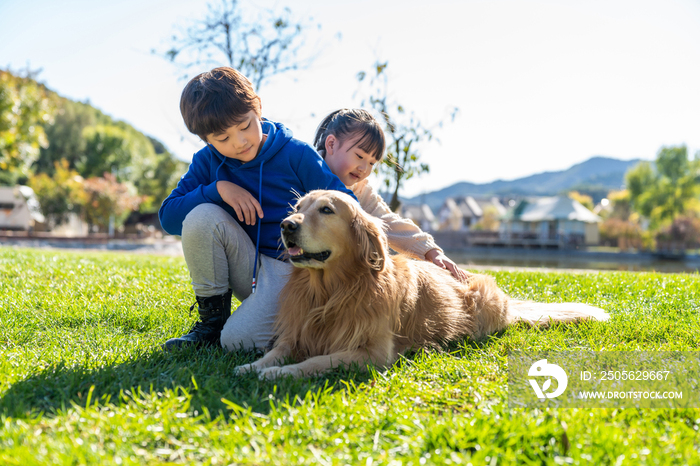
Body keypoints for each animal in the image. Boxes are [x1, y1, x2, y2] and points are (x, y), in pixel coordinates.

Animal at [235, 189, 608, 378]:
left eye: (326, 210)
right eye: (298, 207)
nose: (286, 225)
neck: (332, 290)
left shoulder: (372, 352)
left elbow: (316, 362)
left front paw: (279, 374)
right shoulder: (297, 333)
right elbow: (276, 352)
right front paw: (252, 365)